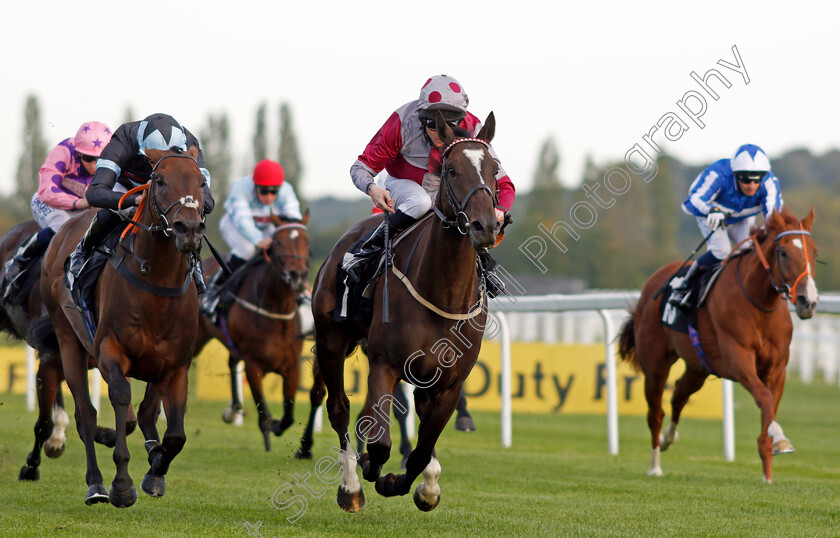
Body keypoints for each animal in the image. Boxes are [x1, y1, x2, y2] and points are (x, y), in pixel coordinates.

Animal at [35, 146, 207, 502]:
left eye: (201, 181)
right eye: (159, 180)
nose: (188, 229)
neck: (157, 281)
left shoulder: (176, 366)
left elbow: (174, 434)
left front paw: (155, 470)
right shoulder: (110, 351)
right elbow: (122, 400)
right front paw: (122, 484)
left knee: (140, 415)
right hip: (69, 341)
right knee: (85, 415)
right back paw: (96, 483)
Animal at [194, 210, 312, 448]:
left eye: (306, 242)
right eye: (278, 242)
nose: (298, 275)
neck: (275, 311)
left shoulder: (292, 367)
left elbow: (289, 416)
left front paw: (277, 425)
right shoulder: (253, 365)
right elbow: (264, 411)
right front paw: (268, 428)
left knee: (231, 362)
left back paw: (233, 410)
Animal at [312, 112, 502, 510]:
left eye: (494, 169)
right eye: (451, 169)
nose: (485, 226)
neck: (443, 293)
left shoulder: (450, 383)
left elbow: (420, 451)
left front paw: (419, 486)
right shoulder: (384, 363)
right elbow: (379, 443)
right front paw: (371, 469)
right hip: (331, 341)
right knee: (339, 408)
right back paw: (350, 485)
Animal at [612, 206, 816, 482]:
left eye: (814, 252)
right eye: (783, 252)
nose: (809, 301)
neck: (759, 304)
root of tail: (653, 282)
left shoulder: (777, 367)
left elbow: (769, 404)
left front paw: (769, 467)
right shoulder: (738, 358)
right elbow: (762, 395)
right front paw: (780, 439)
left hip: (698, 365)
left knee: (679, 393)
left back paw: (668, 438)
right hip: (655, 365)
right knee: (655, 413)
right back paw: (655, 465)